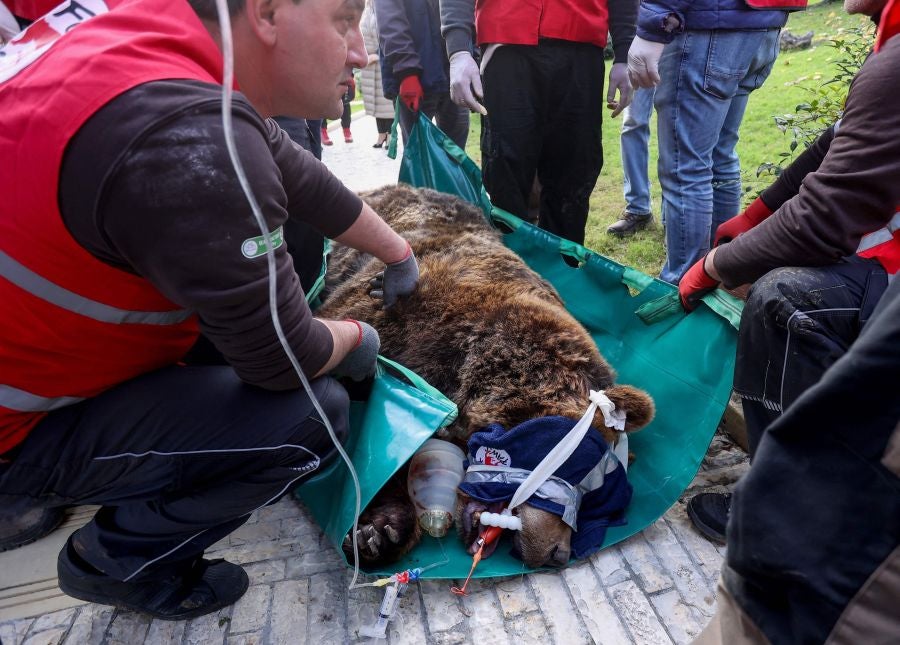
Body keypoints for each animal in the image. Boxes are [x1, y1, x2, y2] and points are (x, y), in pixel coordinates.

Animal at [316, 184, 655, 569]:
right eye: (583, 473)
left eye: (592, 499)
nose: (558, 552)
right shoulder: (397, 319)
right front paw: (376, 531)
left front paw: (382, 531)